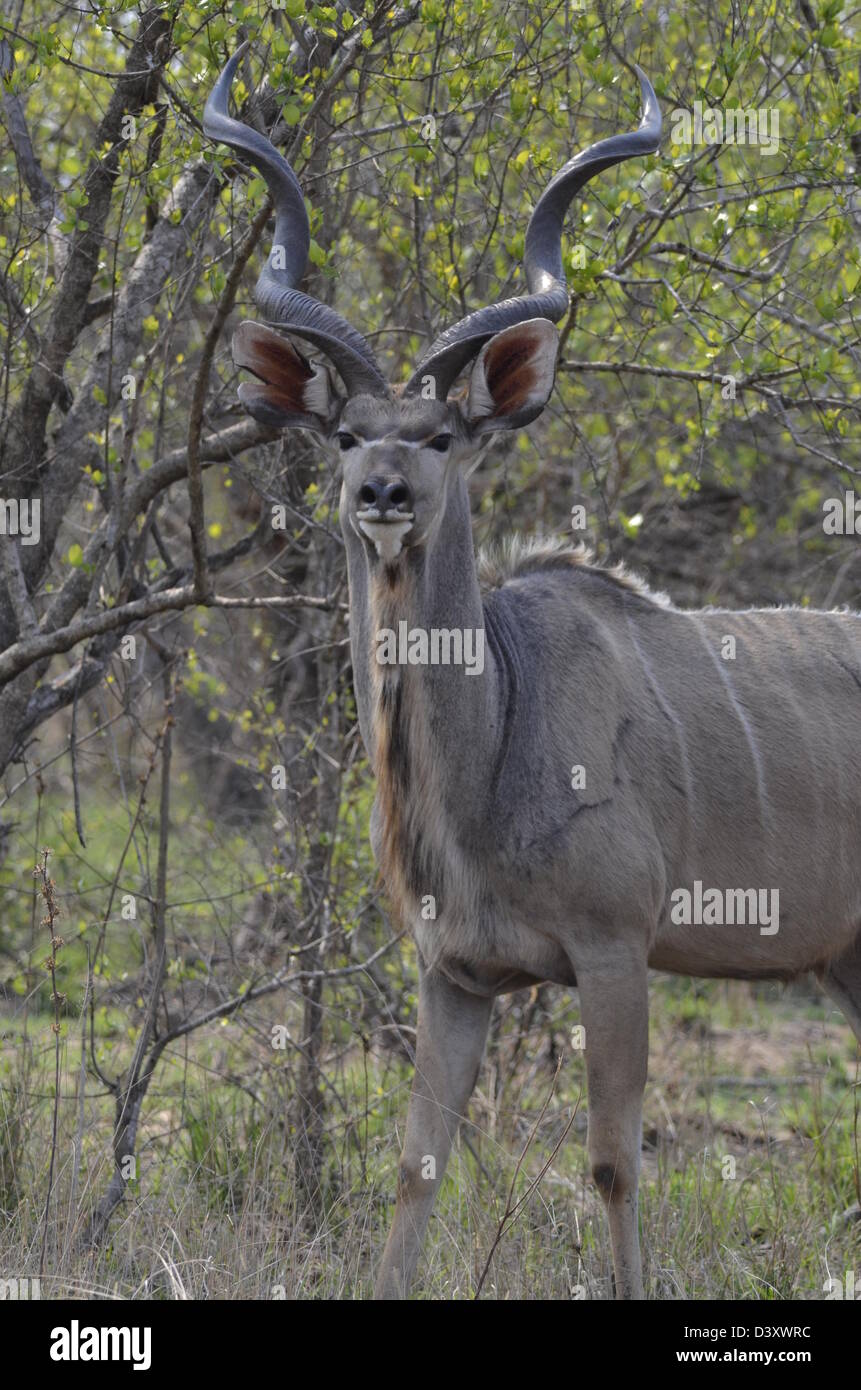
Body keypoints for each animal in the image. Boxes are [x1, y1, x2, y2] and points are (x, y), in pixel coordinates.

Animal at [205, 46, 861, 1301]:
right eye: (345, 434)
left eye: (443, 436)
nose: (383, 495)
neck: (492, 741)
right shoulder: (456, 975)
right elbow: (415, 1162)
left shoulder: (614, 950)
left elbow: (612, 1161)